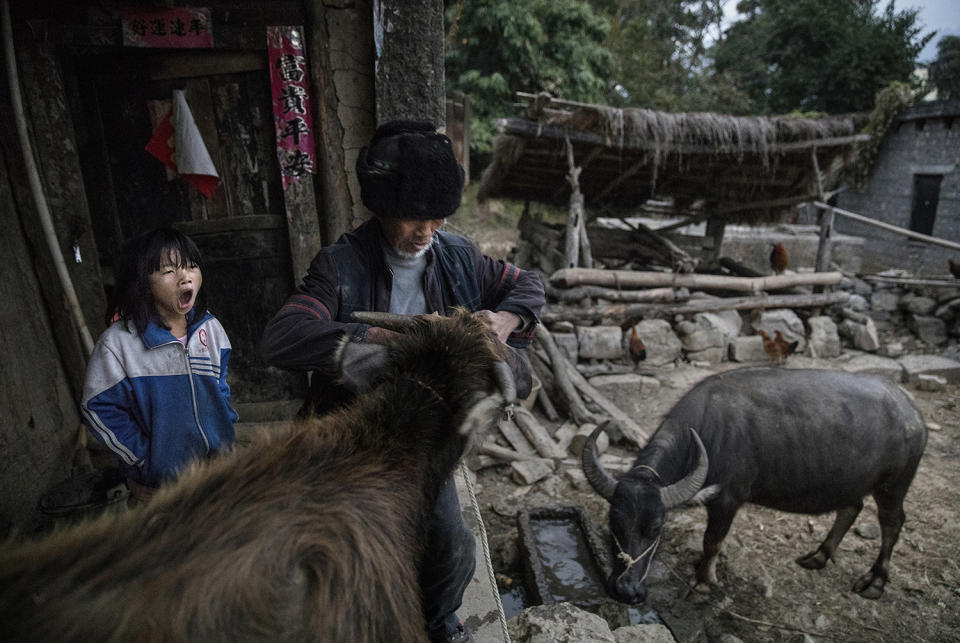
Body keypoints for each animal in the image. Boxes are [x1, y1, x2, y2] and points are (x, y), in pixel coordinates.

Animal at [580, 368, 928, 604]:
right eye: (614, 523)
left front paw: (704, 580)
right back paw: (818, 556)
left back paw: (876, 582)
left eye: (655, 528)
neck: (707, 431)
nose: (626, 590)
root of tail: (913, 413)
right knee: (851, 508)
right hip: (849, 482)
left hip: (893, 485)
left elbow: (712, 541)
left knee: (892, 522)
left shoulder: (726, 500)